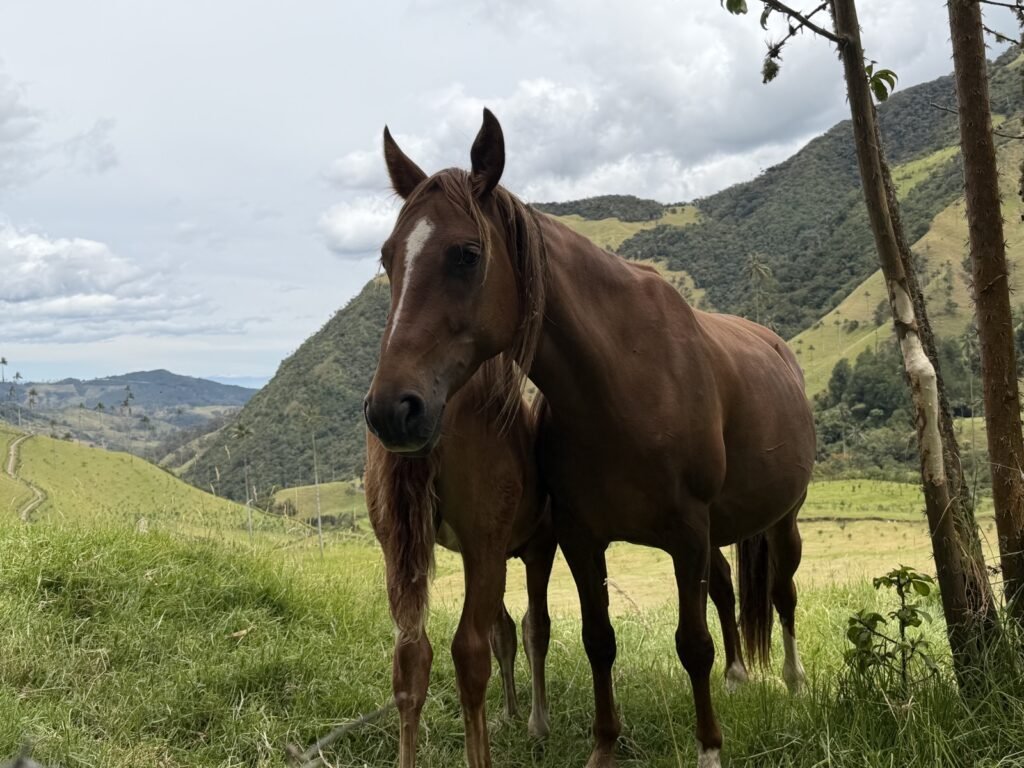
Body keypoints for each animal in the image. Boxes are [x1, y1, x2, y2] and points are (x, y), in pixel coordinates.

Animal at [366, 353, 557, 768]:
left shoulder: (493, 553)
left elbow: (503, 632)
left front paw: (511, 713)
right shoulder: (538, 546)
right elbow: (534, 628)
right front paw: (536, 723)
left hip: (399, 549)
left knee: (410, 655)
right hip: (485, 547)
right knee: (469, 652)